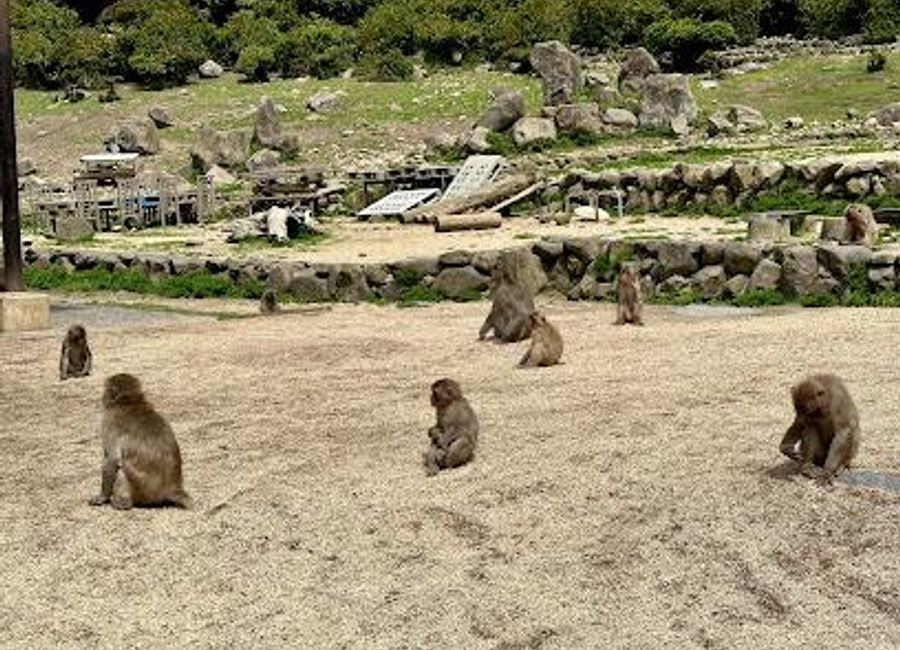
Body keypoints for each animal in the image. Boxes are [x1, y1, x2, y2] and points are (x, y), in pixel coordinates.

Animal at [89, 373, 192, 510]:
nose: (103, 396)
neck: (130, 401)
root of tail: (172, 488)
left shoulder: (109, 423)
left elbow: (112, 459)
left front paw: (102, 497)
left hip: (143, 490)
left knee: (122, 467)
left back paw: (123, 503)